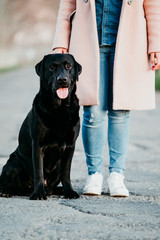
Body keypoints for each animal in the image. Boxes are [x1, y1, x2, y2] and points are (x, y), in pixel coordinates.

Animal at [0, 53, 82, 200]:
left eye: (68, 66)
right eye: (51, 67)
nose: (62, 80)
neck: (59, 109)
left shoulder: (70, 145)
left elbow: (66, 173)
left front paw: (69, 192)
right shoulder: (38, 144)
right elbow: (38, 171)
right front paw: (38, 193)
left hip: (58, 166)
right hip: (12, 163)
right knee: (7, 181)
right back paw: (6, 191)